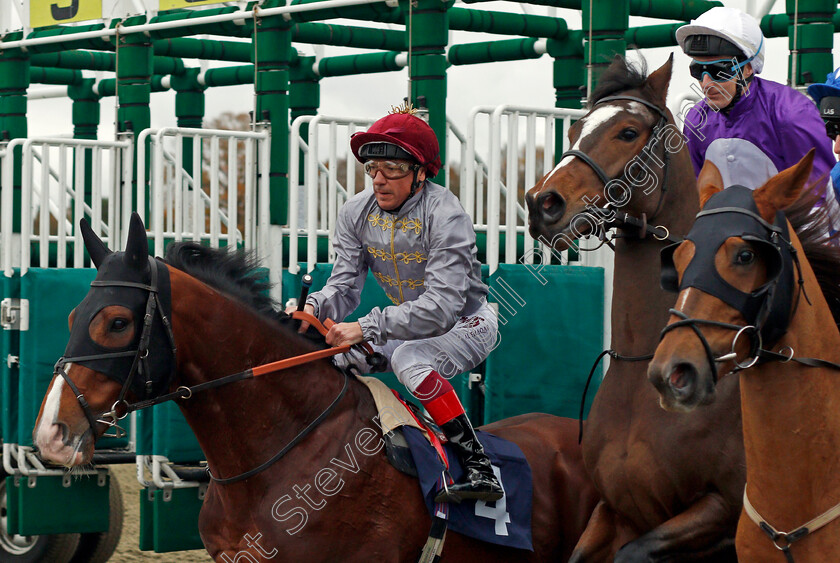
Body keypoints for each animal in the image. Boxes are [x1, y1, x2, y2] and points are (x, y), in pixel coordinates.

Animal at [524, 54, 740, 563]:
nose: (542, 203)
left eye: (628, 132)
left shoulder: (721, 512)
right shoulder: (615, 508)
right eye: (575, 128)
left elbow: (636, 553)